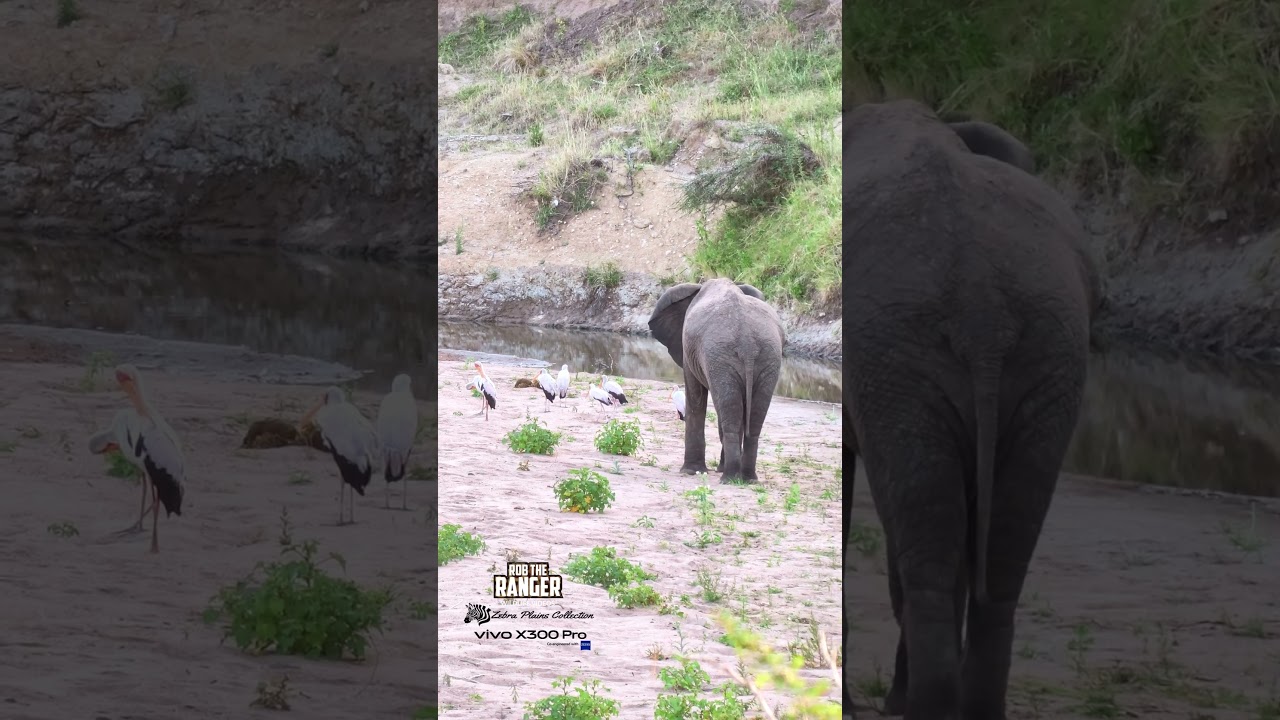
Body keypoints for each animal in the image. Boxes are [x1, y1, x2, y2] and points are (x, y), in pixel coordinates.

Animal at [648, 278, 786, 483]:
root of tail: (747, 343)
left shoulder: (690, 351)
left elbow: (695, 398)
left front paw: (690, 471)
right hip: (767, 357)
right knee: (748, 416)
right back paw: (747, 478)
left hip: (723, 357)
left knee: (729, 411)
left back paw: (729, 478)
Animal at [841, 100, 1103, 720]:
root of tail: (983, 308)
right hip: (1047, 355)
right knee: (996, 557)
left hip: (913, 357)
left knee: (931, 553)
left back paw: (916, 706)